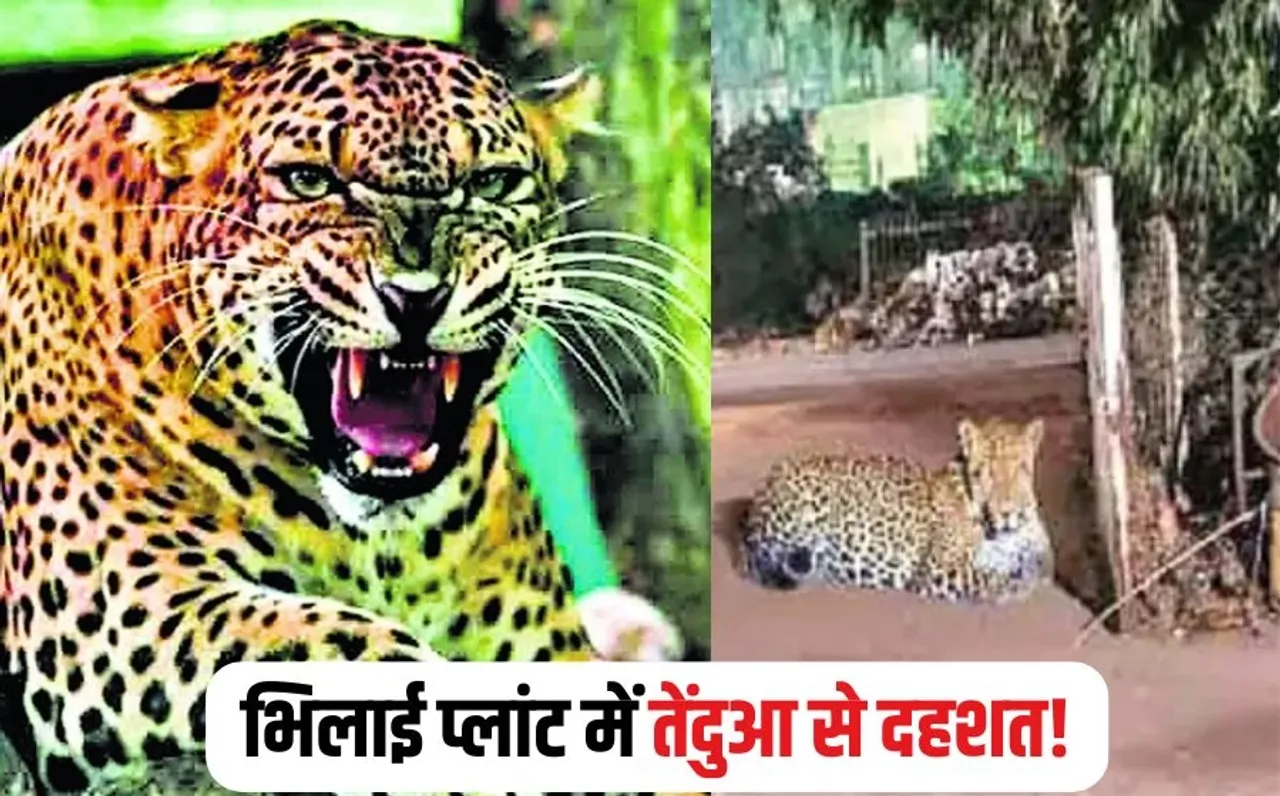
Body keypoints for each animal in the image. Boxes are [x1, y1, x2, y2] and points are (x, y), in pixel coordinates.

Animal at [0, 19, 653, 795]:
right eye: (309, 179)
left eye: (492, 182)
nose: (416, 295)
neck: (389, 551)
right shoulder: (117, 614)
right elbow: (336, 645)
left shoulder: (544, 646)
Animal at [738, 417, 1054, 603]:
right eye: (983, 473)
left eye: (1022, 469)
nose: (1009, 512)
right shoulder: (940, 569)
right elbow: (988, 578)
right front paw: (1015, 584)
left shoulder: (1041, 548)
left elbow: (1043, 562)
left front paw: (1027, 569)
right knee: (757, 561)